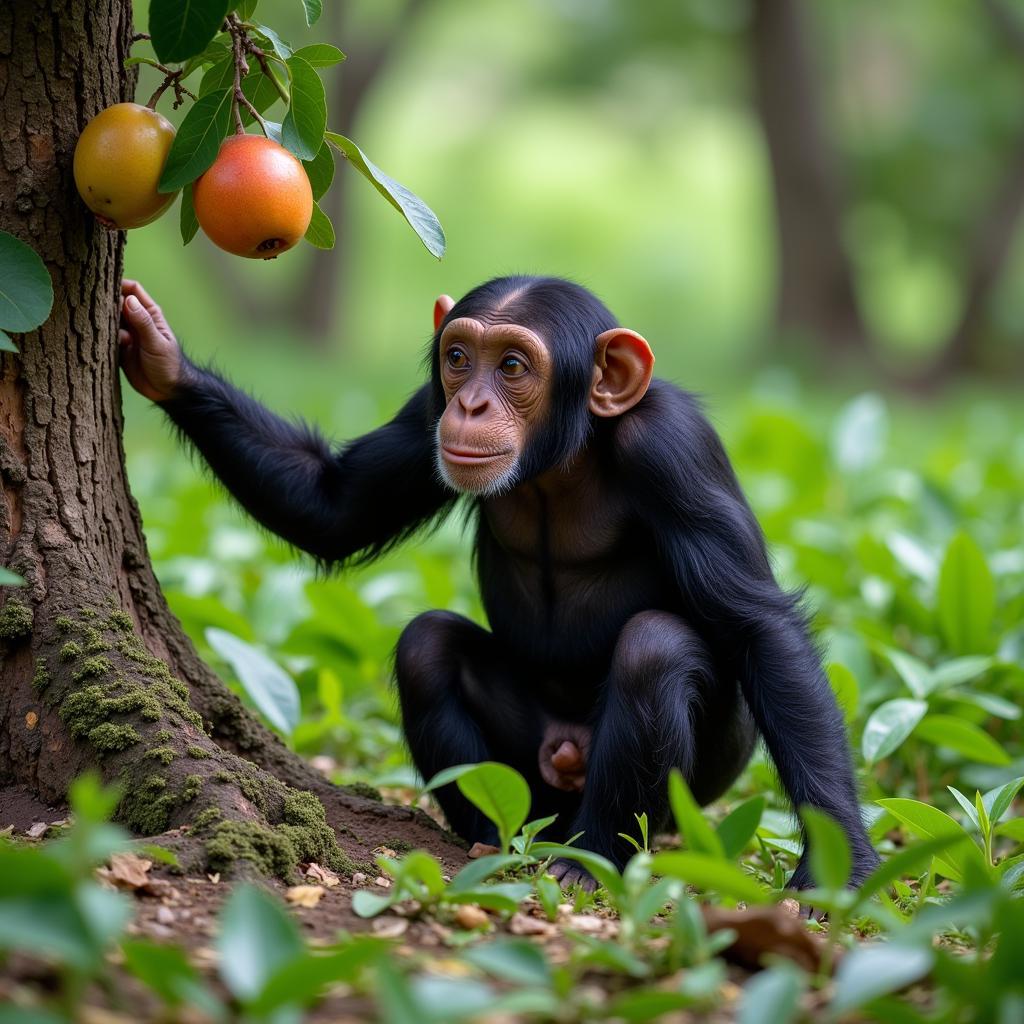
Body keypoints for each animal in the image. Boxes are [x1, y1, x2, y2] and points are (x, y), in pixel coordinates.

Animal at [119, 274, 880, 888]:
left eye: (513, 366)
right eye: (459, 359)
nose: (473, 405)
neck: (563, 456)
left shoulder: (674, 449)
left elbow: (759, 628)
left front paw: (842, 862)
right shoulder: (425, 412)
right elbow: (331, 505)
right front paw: (162, 358)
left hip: (696, 790)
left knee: (655, 650)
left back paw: (589, 863)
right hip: (534, 772)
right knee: (427, 646)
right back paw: (493, 839)